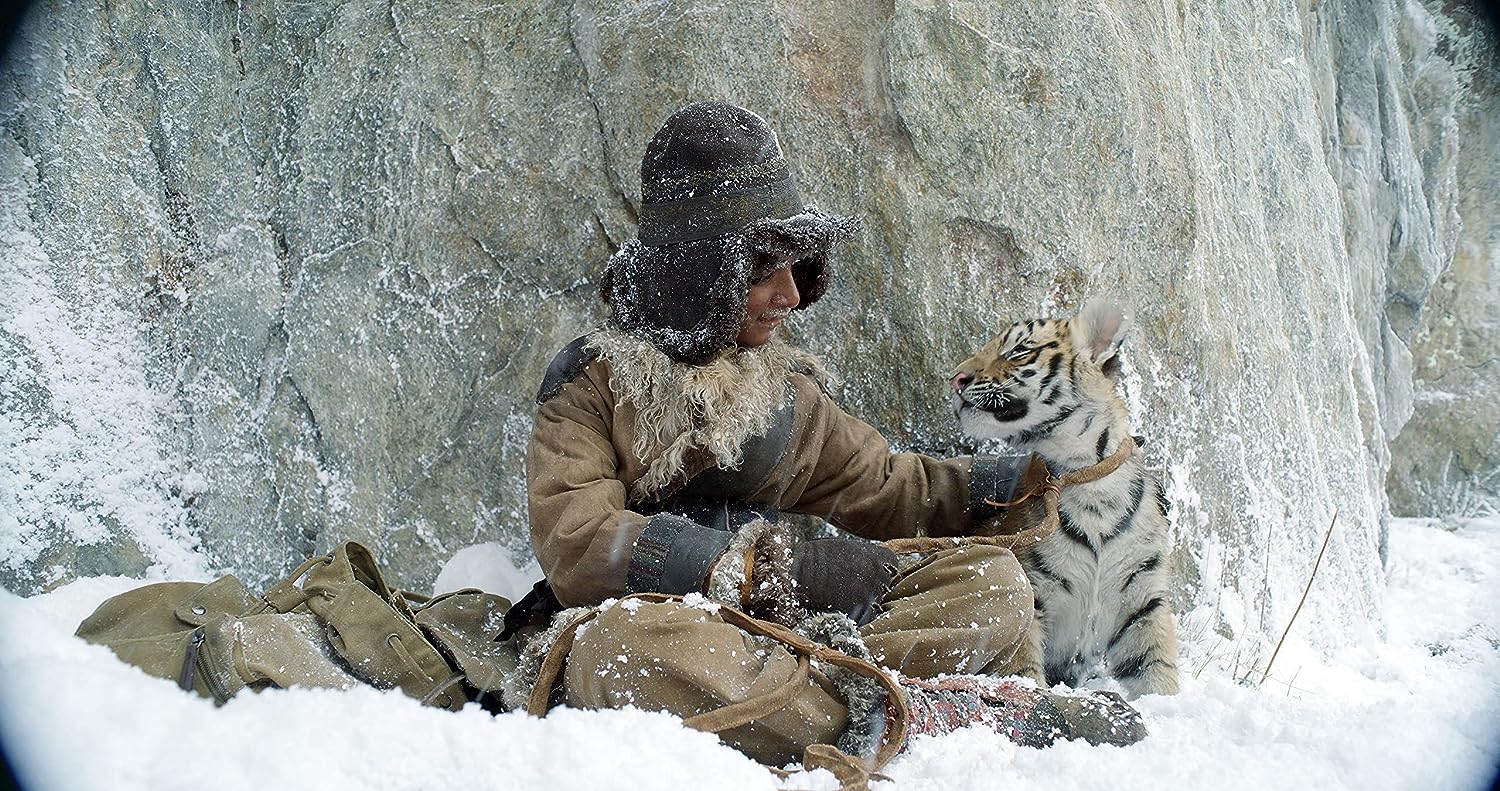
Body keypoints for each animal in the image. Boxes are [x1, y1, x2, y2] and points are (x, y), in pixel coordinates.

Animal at [948, 298, 1180, 698]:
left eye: (1018, 349)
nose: (955, 378)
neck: (1090, 482)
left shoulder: (1143, 600)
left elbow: (1156, 669)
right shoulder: (1032, 591)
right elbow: (1024, 665)